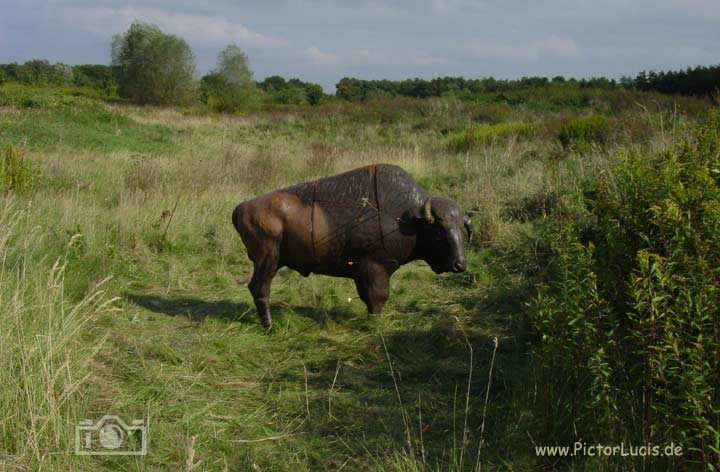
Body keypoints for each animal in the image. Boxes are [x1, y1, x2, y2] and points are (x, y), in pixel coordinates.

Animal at [232, 163, 472, 328]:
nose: (460, 265)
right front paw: (376, 321)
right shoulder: (376, 268)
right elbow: (378, 296)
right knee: (260, 287)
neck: (408, 218)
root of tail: (240, 208)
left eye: (462, 229)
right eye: (439, 232)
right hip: (268, 260)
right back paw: (269, 325)